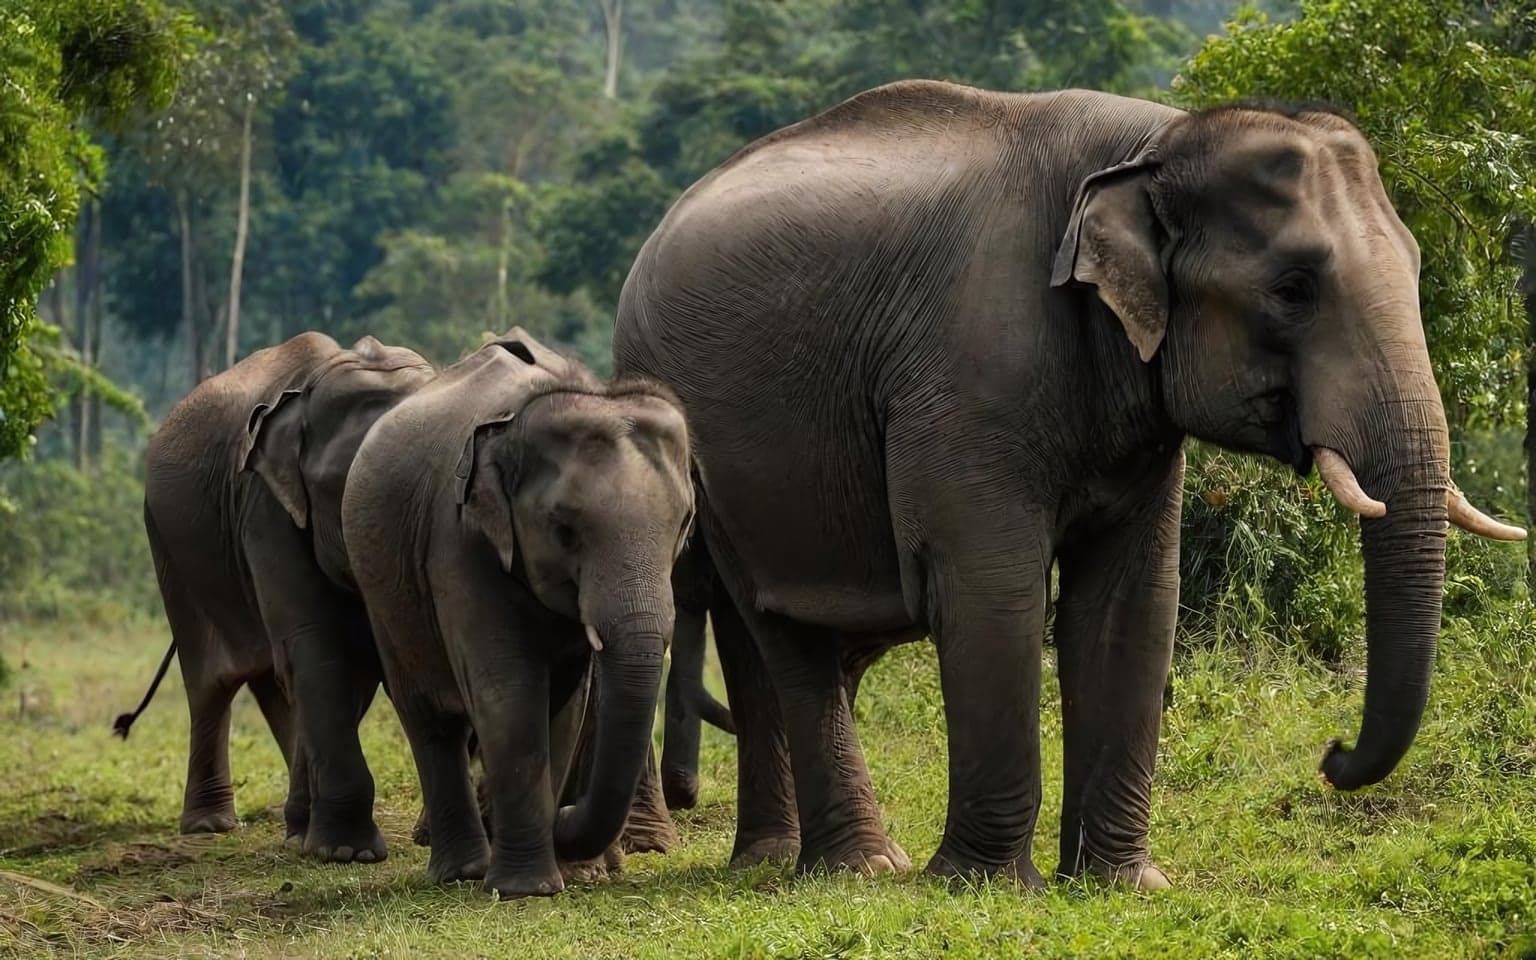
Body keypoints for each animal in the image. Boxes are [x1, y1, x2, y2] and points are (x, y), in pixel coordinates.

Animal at [121, 332, 435, 863]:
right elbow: (317, 645)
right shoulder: (266, 510)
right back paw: (213, 825)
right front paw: (347, 854)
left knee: (278, 679)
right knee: (214, 680)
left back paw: (296, 824)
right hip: (167, 543)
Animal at [342, 328, 694, 898]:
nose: (568, 816)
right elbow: (507, 689)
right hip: (381, 589)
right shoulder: (458, 541)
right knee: (427, 717)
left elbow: (567, 700)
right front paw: (528, 888)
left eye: (684, 522)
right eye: (564, 528)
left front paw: (565, 874)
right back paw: (462, 871)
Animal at [612, 81, 1526, 889]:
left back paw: (798, 861)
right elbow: (994, 588)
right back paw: (856, 867)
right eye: (1292, 290)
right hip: (715, 457)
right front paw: (983, 885)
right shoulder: (967, 377)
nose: (1332, 754)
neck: (1154, 141)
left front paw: (1124, 884)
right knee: (779, 627)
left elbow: (1130, 603)